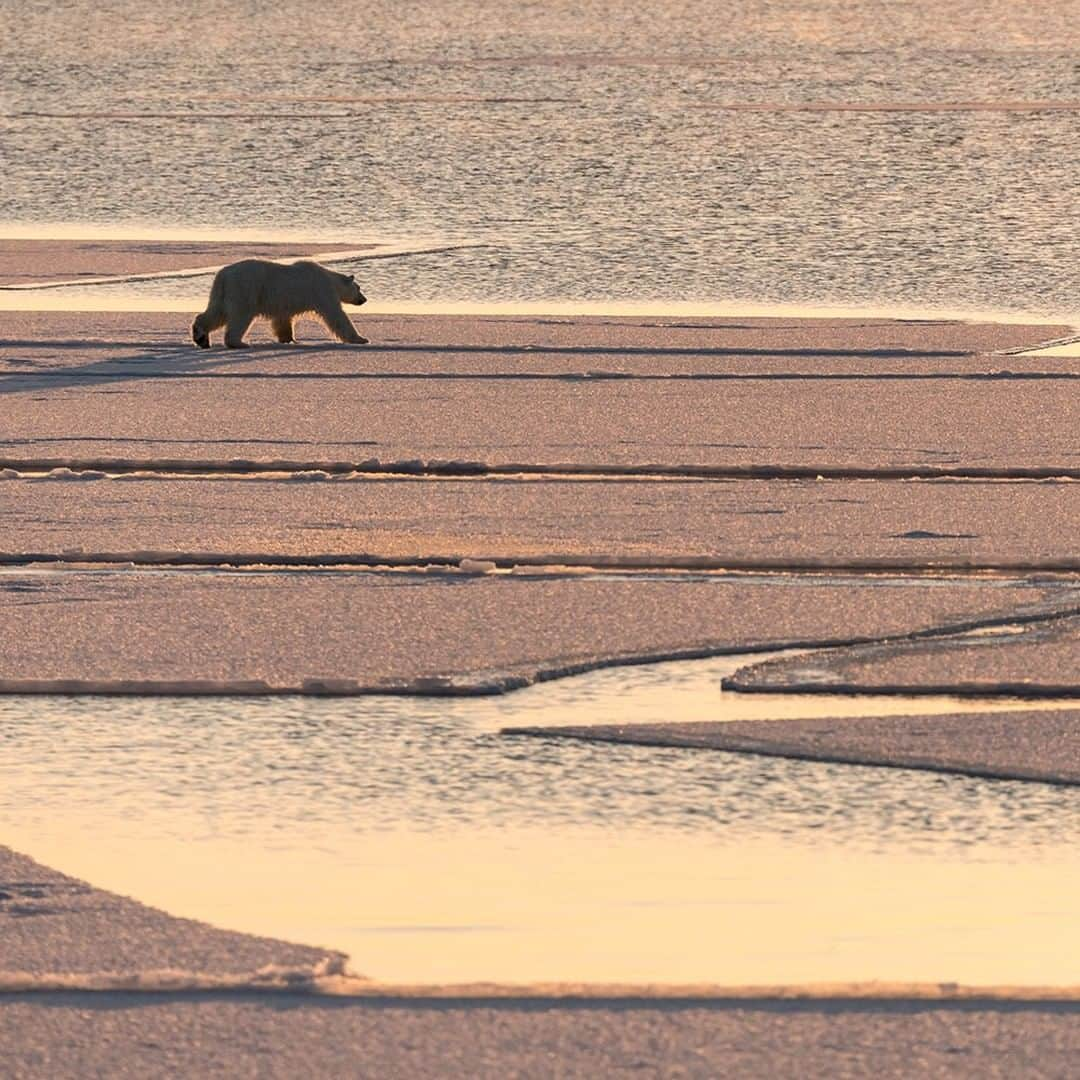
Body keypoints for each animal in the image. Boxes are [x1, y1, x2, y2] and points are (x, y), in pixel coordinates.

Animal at [190, 259, 367, 347]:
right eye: (358, 288)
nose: (364, 299)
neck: (330, 279)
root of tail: (223, 275)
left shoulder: (284, 305)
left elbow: (282, 320)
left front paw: (289, 339)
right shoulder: (322, 292)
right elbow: (336, 316)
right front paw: (361, 339)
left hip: (222, 292)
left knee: (216, 312)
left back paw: (201, 337)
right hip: (245, 289)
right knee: (240, 316)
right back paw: (239, 343)